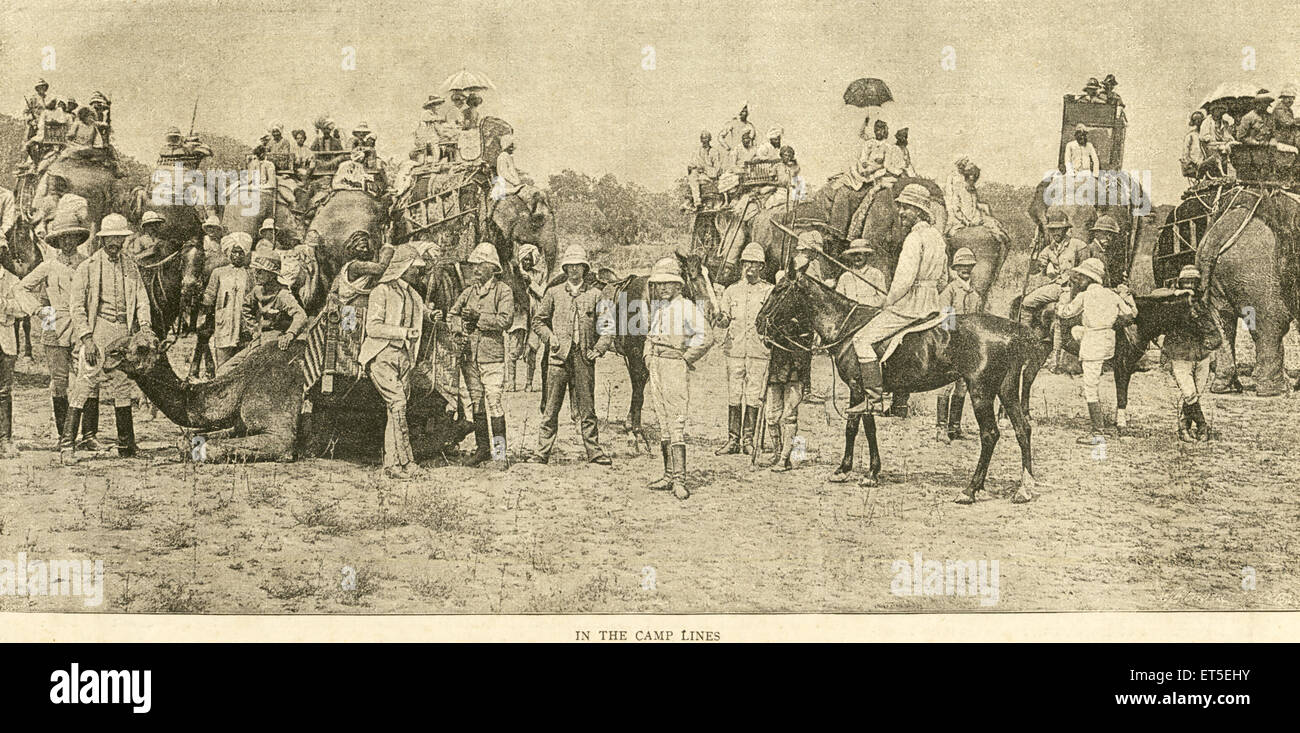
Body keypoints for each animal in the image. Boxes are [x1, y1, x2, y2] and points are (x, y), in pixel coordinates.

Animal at [754, 270, 1045, 504]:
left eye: (779, 289)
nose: (758, 322)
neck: (848, 327)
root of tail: (1014, 330)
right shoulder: (862, 393)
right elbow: (859, 428)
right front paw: (854, 470)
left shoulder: (860, 389)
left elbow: (860, 428)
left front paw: (862, 473)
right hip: (1006, 391)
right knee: (1023, 429)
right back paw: (1024, 488)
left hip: (981, 392)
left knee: (990, 435)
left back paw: (970, 490)